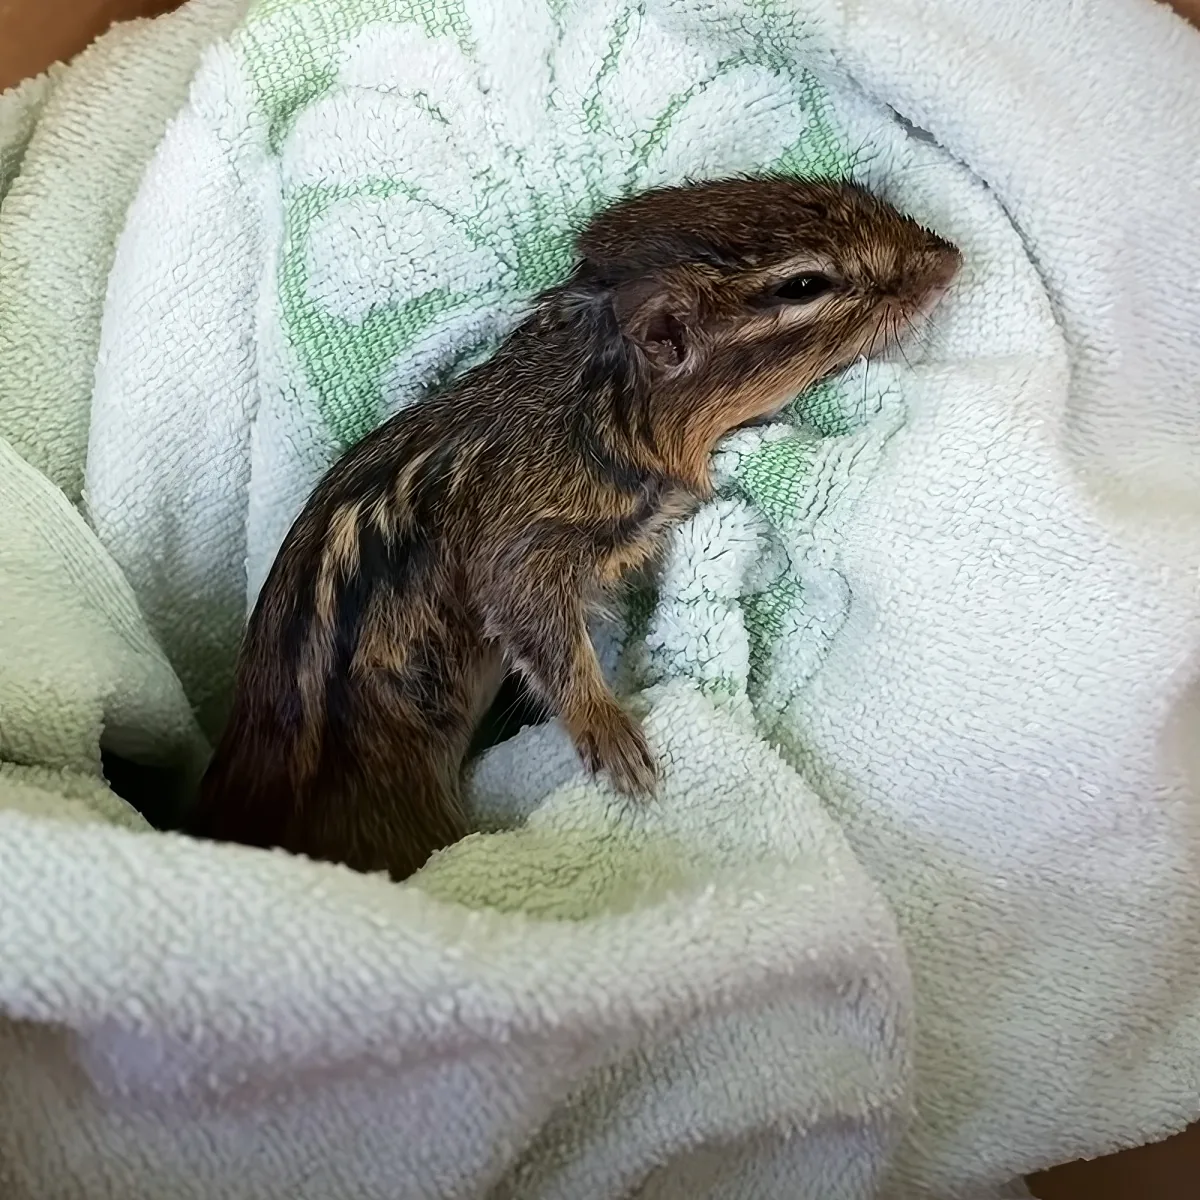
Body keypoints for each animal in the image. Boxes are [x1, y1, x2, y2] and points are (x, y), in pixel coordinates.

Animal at [188, 175, 961, 880]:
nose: (948, 258)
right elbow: (535, 622)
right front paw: (612, 736)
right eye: (804, 284)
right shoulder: (525, 543)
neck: (592, 397)